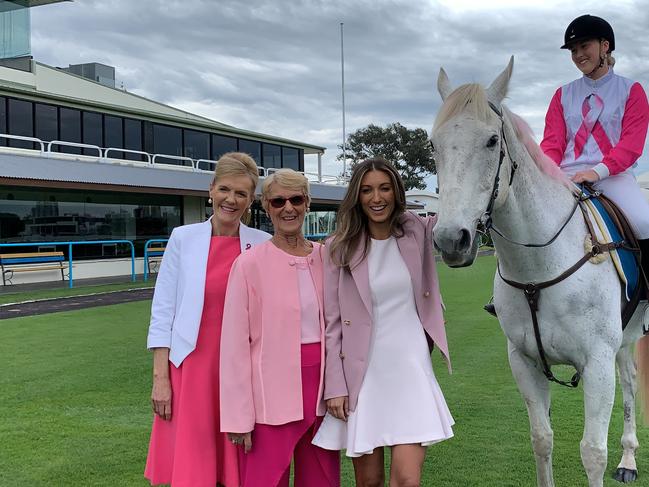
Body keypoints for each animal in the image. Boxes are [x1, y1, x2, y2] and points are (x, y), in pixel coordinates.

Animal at [430, 58, 648, 487]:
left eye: (491, 141)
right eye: (434, 144)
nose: (450, 240)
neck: (540, 269)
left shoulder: (597, 363)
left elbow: (592, 452)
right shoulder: (524, 361)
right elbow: (541, 439)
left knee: (631, 384)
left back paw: (629, 460)